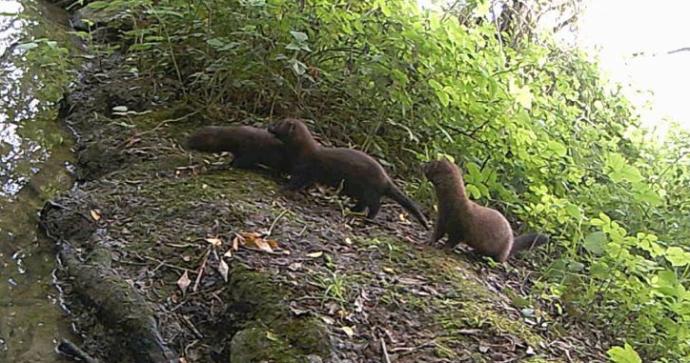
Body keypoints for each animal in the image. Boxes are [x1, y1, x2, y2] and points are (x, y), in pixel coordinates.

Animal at [268, 118, 424, 230]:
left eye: (278, 123)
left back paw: (367, 218)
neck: (302, 152)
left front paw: (283, 188)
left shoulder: (306, 168)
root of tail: (385, 178)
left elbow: (297, 181)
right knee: (363, 203)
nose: (269, 126)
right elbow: (306, 183)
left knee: (374, 205)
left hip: (369, 189)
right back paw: (352, 209)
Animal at [420, 159, 548, 262]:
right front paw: (429, 241)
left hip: (501, 248)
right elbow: (438, 233)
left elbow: (454, 239)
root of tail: (511, 242)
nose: (423, 164)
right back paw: (473, 251)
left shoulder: (460, 226)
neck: (449, 205)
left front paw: (445, 248)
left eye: (430, 164)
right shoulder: (442, 218)